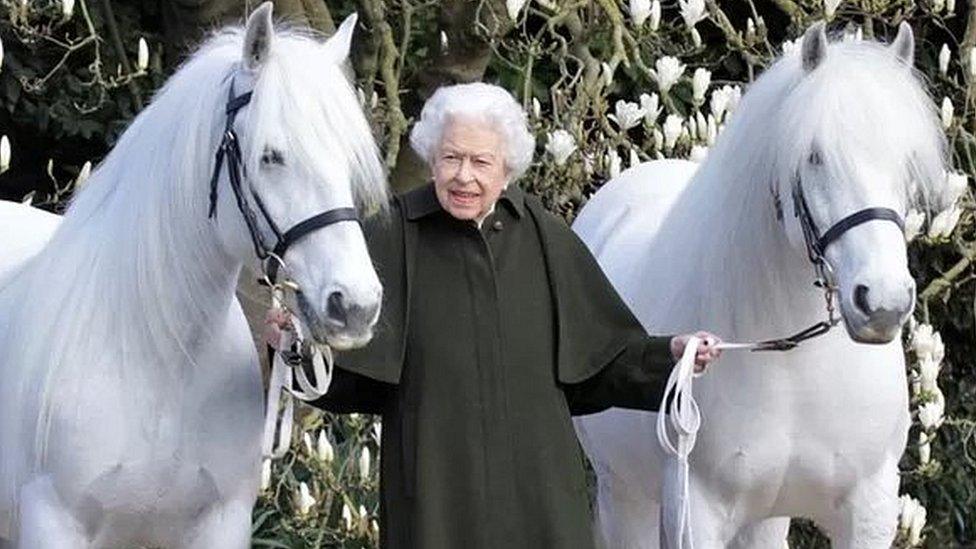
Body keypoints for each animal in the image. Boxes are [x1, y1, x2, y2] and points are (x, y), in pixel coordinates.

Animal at [0, 5, 388, 548]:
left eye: (349, 161)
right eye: (271, 155)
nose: (355, 305)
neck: (157, 362)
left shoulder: (218, 525)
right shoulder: (54, 524)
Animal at [576, 22, 948, 548]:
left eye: (906, 161)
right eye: (814, 156)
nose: (883, 304)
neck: (793, 363)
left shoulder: (869, 508)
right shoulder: (698, 512)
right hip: (625, 496)